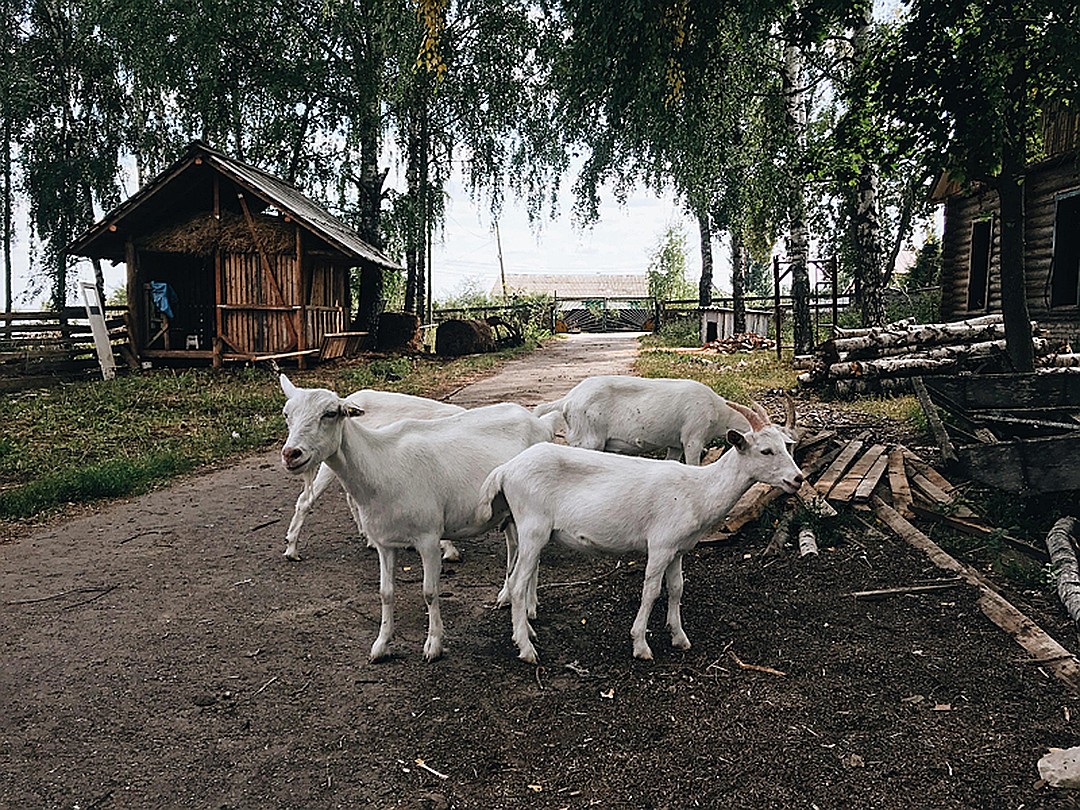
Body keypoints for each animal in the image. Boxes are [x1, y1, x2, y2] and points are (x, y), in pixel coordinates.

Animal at [481, 403, 803, 660]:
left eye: (787, 445)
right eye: (766, 450)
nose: (797, 479)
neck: (697, 491)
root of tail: (506, 470)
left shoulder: (678, 548)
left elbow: (677, 587)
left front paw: (679, 637)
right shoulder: (660, 545)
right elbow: (651, 591)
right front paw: (641, 645)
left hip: (527, 530)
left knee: (518, 578)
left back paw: (528, 632)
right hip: (533, 526)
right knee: (518, 584)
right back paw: (526, 649)